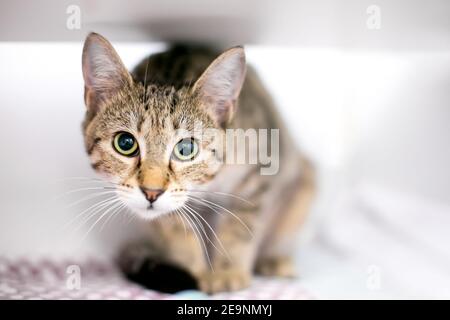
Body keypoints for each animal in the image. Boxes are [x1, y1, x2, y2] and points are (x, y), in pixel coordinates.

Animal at [81, 31, 314, 292]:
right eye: (125, 143)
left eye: (186, 148)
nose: (151, 192)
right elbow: (177, 229)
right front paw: (197, 271)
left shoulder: (260, 174)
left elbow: (239, 226)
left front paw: (228, 271)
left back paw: (272, 259)